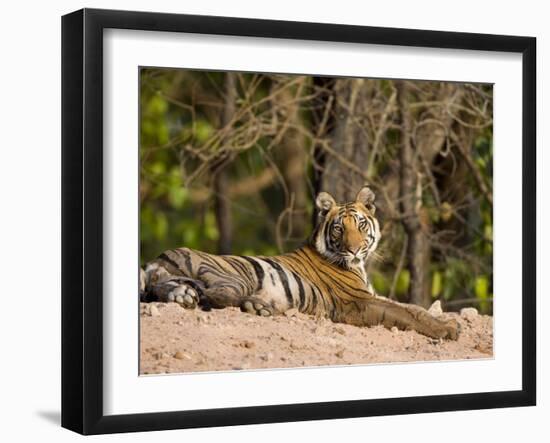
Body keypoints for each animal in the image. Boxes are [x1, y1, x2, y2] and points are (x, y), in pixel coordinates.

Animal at [141, 186, 462, 342]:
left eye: (360, 224)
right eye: (339, 229)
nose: (354, 249)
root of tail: (160, 256)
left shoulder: (371, 295)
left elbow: (414, 308)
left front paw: (448, 322)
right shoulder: (357, 302)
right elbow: (406, 313)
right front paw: (446, 330)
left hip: (173, 279)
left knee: (167, 289)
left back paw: (187, 297)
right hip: (233, 275)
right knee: (218, 295)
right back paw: (262, 307)